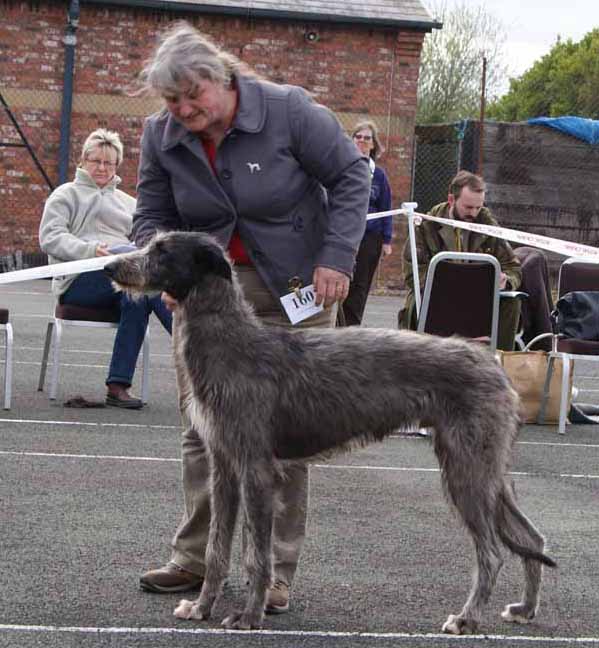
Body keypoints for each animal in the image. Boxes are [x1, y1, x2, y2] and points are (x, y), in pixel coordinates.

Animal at [104, 232, 556, 632]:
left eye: (163, 251)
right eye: (152, 244)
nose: (110, 266)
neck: (231, 341)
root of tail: (494, 364)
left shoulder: (256, 468)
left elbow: (258, 556)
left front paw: (249, 615)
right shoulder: (225, 466)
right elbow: (217, 547)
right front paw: (201, 608)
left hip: (466, 471)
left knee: (492, 553)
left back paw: (466, 618)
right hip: (485, 469)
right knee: (531, 537)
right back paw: (525, 608)